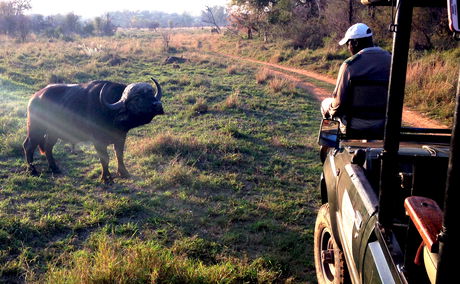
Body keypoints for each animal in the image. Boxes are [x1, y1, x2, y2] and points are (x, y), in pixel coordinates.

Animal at [23, 79, 164, 183]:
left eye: (151, 94)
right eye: (137, 98)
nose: (158, 105)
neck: (111, 113)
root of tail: (34, 98)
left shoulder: (120, 138)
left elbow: (119, 155)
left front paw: (124, 173)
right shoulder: (98, 141)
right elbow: (105, 159)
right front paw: (106, 178)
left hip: (53, 132)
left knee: (48, 147)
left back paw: (54, 168)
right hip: (36, 128)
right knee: (28, 146)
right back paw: (32, 170)